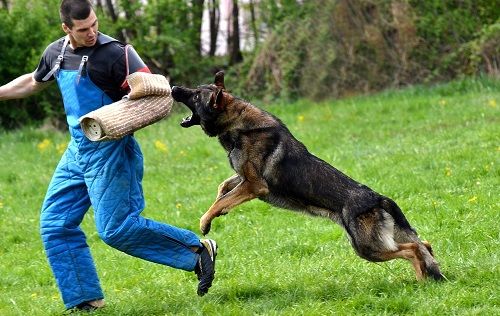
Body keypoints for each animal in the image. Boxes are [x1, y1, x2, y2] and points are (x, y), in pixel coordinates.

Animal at [170, 71, 444, 282]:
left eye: (196, 95)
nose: (173, 87)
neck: (237, 122)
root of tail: (377, 198)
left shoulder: (255, 185)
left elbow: (220, 201)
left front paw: (206, 221)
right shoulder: (244, 179)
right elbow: (223, 188)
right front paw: (218, 209)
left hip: (367, 247)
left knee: (412, 250)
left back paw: (421, 281)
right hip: (380, 241)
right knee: (425, 244)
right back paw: (429, 276)